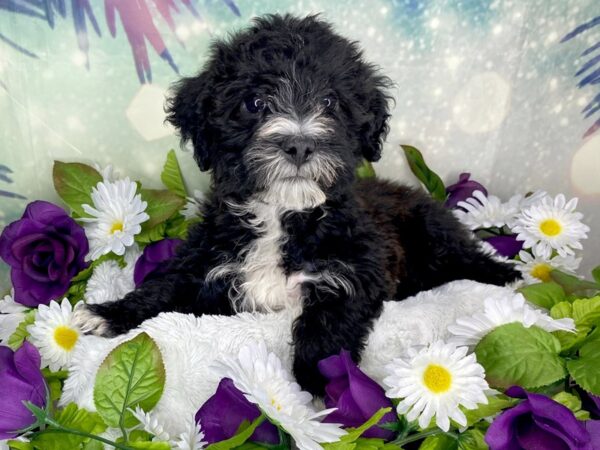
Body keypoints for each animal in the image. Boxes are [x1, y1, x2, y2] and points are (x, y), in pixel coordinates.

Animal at [76, 13, 520, 394]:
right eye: (255, 103)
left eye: (330, 103)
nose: (300, 143)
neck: (282, 214)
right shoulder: (205, 262)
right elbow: (163, 285)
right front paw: (108, 313)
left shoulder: (357, 272)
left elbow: (327, 326)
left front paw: (324, 389)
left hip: (433, 229)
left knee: (465, 255)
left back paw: (505, 273)